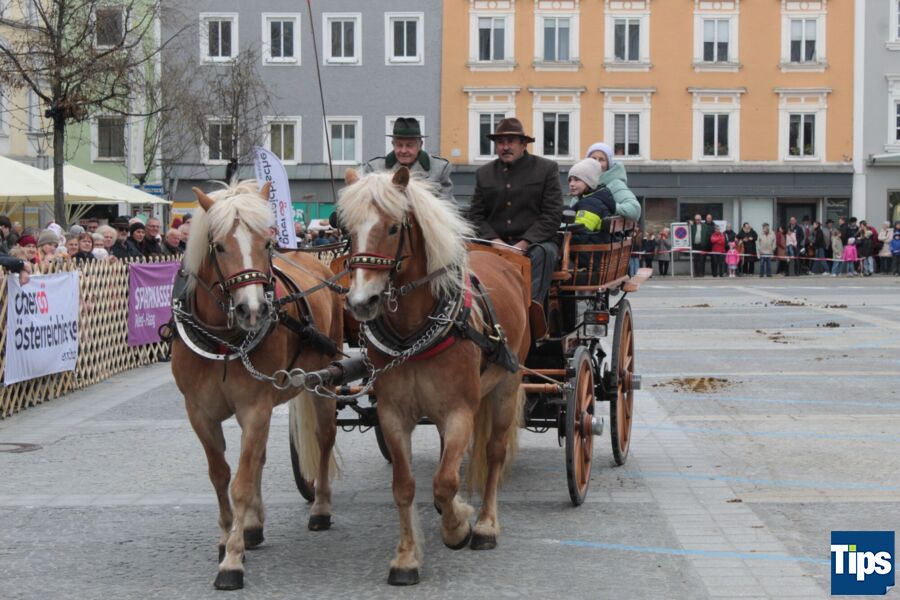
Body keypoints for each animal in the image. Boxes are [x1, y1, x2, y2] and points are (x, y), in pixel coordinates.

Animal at [170, 181, 343, 590]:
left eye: (266, 243)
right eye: (218, 246)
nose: (253, 310)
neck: (222, 342)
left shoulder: (255, 408)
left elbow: (242, 481)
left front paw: (232, 562)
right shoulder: (199, 413)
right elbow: (221, 475)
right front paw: (229, 536)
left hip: (325, 381)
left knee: (324, 439)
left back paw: (320, 507)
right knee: (260, 457)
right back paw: (252, 525)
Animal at [338, 167, 531, 585]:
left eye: (393, 228)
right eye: (346, 229)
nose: (361, 302)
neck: (415, 333)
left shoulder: (459, 411)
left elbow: (444, 482)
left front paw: (458, 527)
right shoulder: (393, 415)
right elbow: (404, 485)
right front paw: (407, 557)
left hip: (506, 386)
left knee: (493, 452)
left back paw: (486, 524)